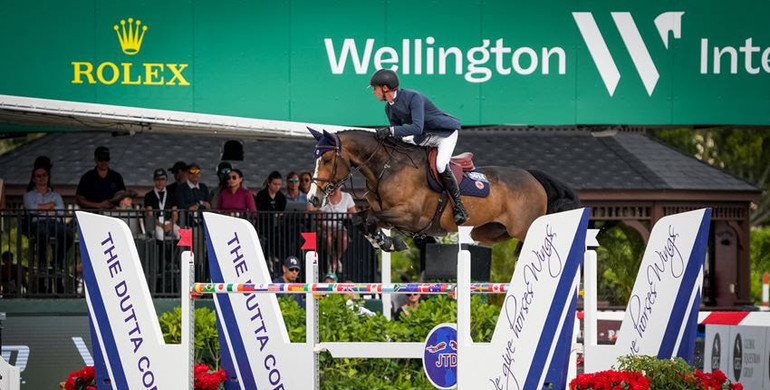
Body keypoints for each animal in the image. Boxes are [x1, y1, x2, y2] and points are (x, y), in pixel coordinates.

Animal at [306, 128, 576, 250]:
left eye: (327, 159)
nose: (313, 199)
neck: (386, 167)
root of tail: (532, 176)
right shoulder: (382, 212)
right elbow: (360, 220)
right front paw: (383, 242)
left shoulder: (409, 215)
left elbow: (371, 218)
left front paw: (390, 243)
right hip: (490, 230)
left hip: (524, 226)